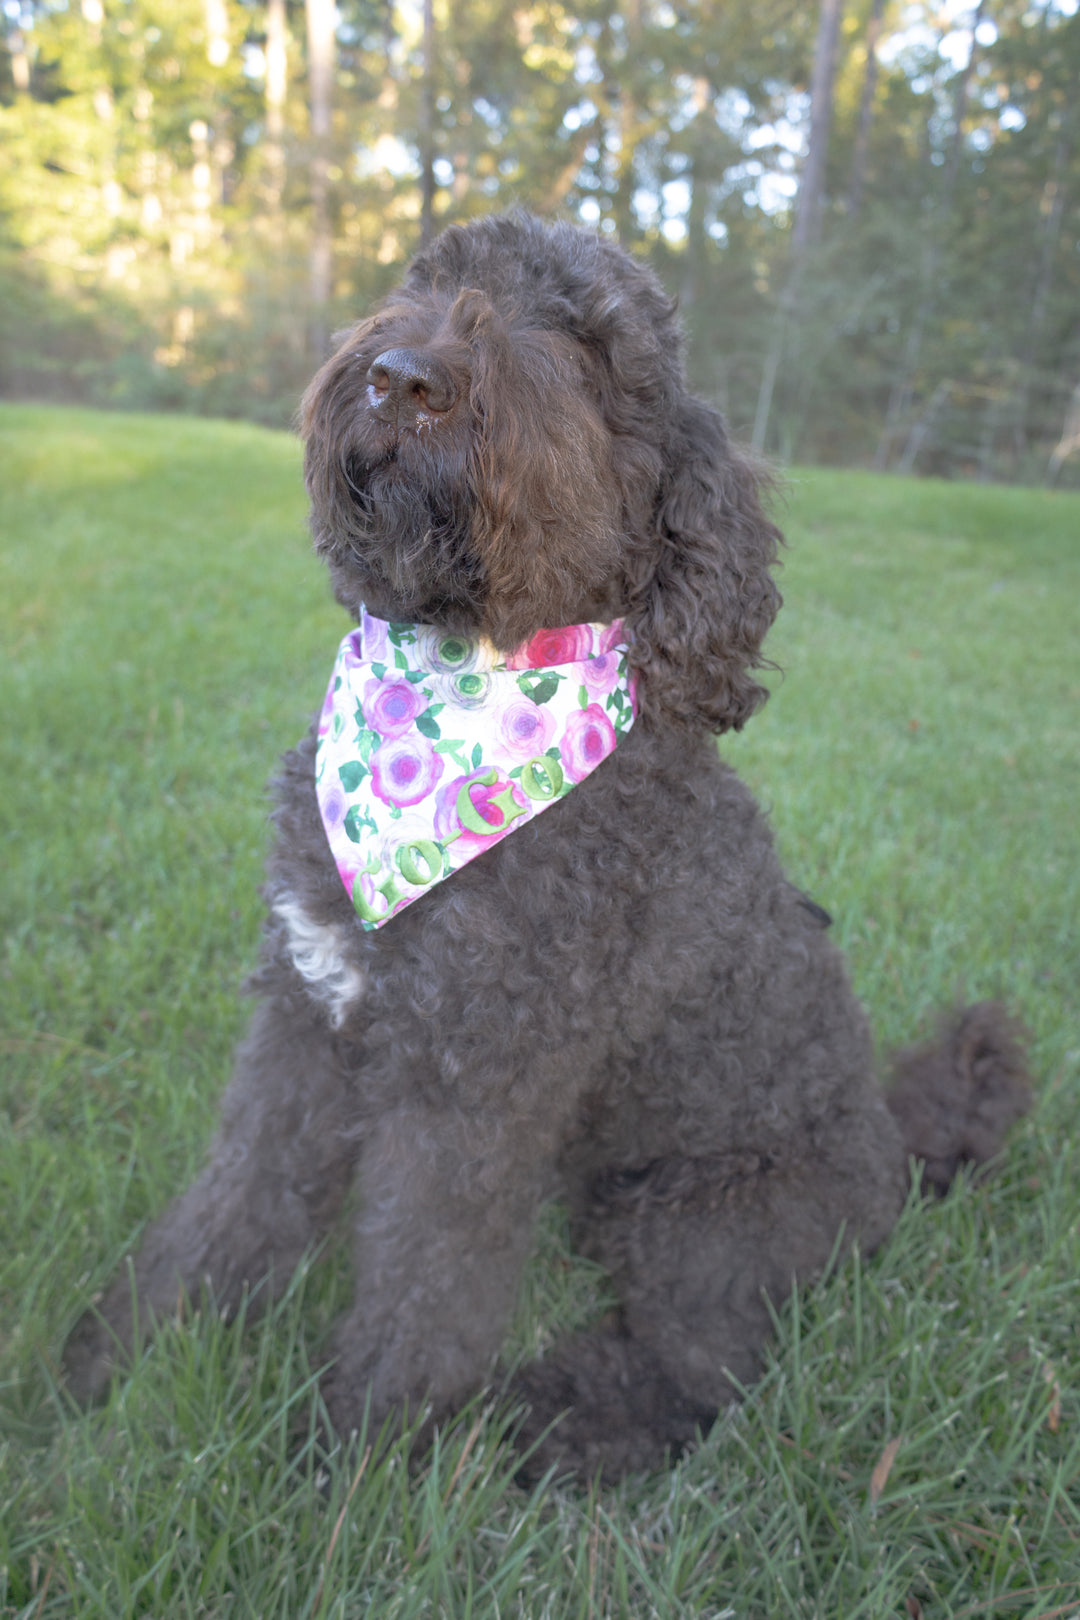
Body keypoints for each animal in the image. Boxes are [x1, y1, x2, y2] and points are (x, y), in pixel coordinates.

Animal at [63, 208, 1036, 1477]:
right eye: (432, 278)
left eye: (584, 346)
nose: (404, 375)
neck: (452, 684)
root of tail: (890, 1151)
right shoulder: (307, 1020)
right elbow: (235, 1202)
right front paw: (122, 1357)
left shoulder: (472, 1090)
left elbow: (423, 1291)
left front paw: (353, 1466)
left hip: (702, 1222)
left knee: (700, 1374)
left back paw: (553, 1425)